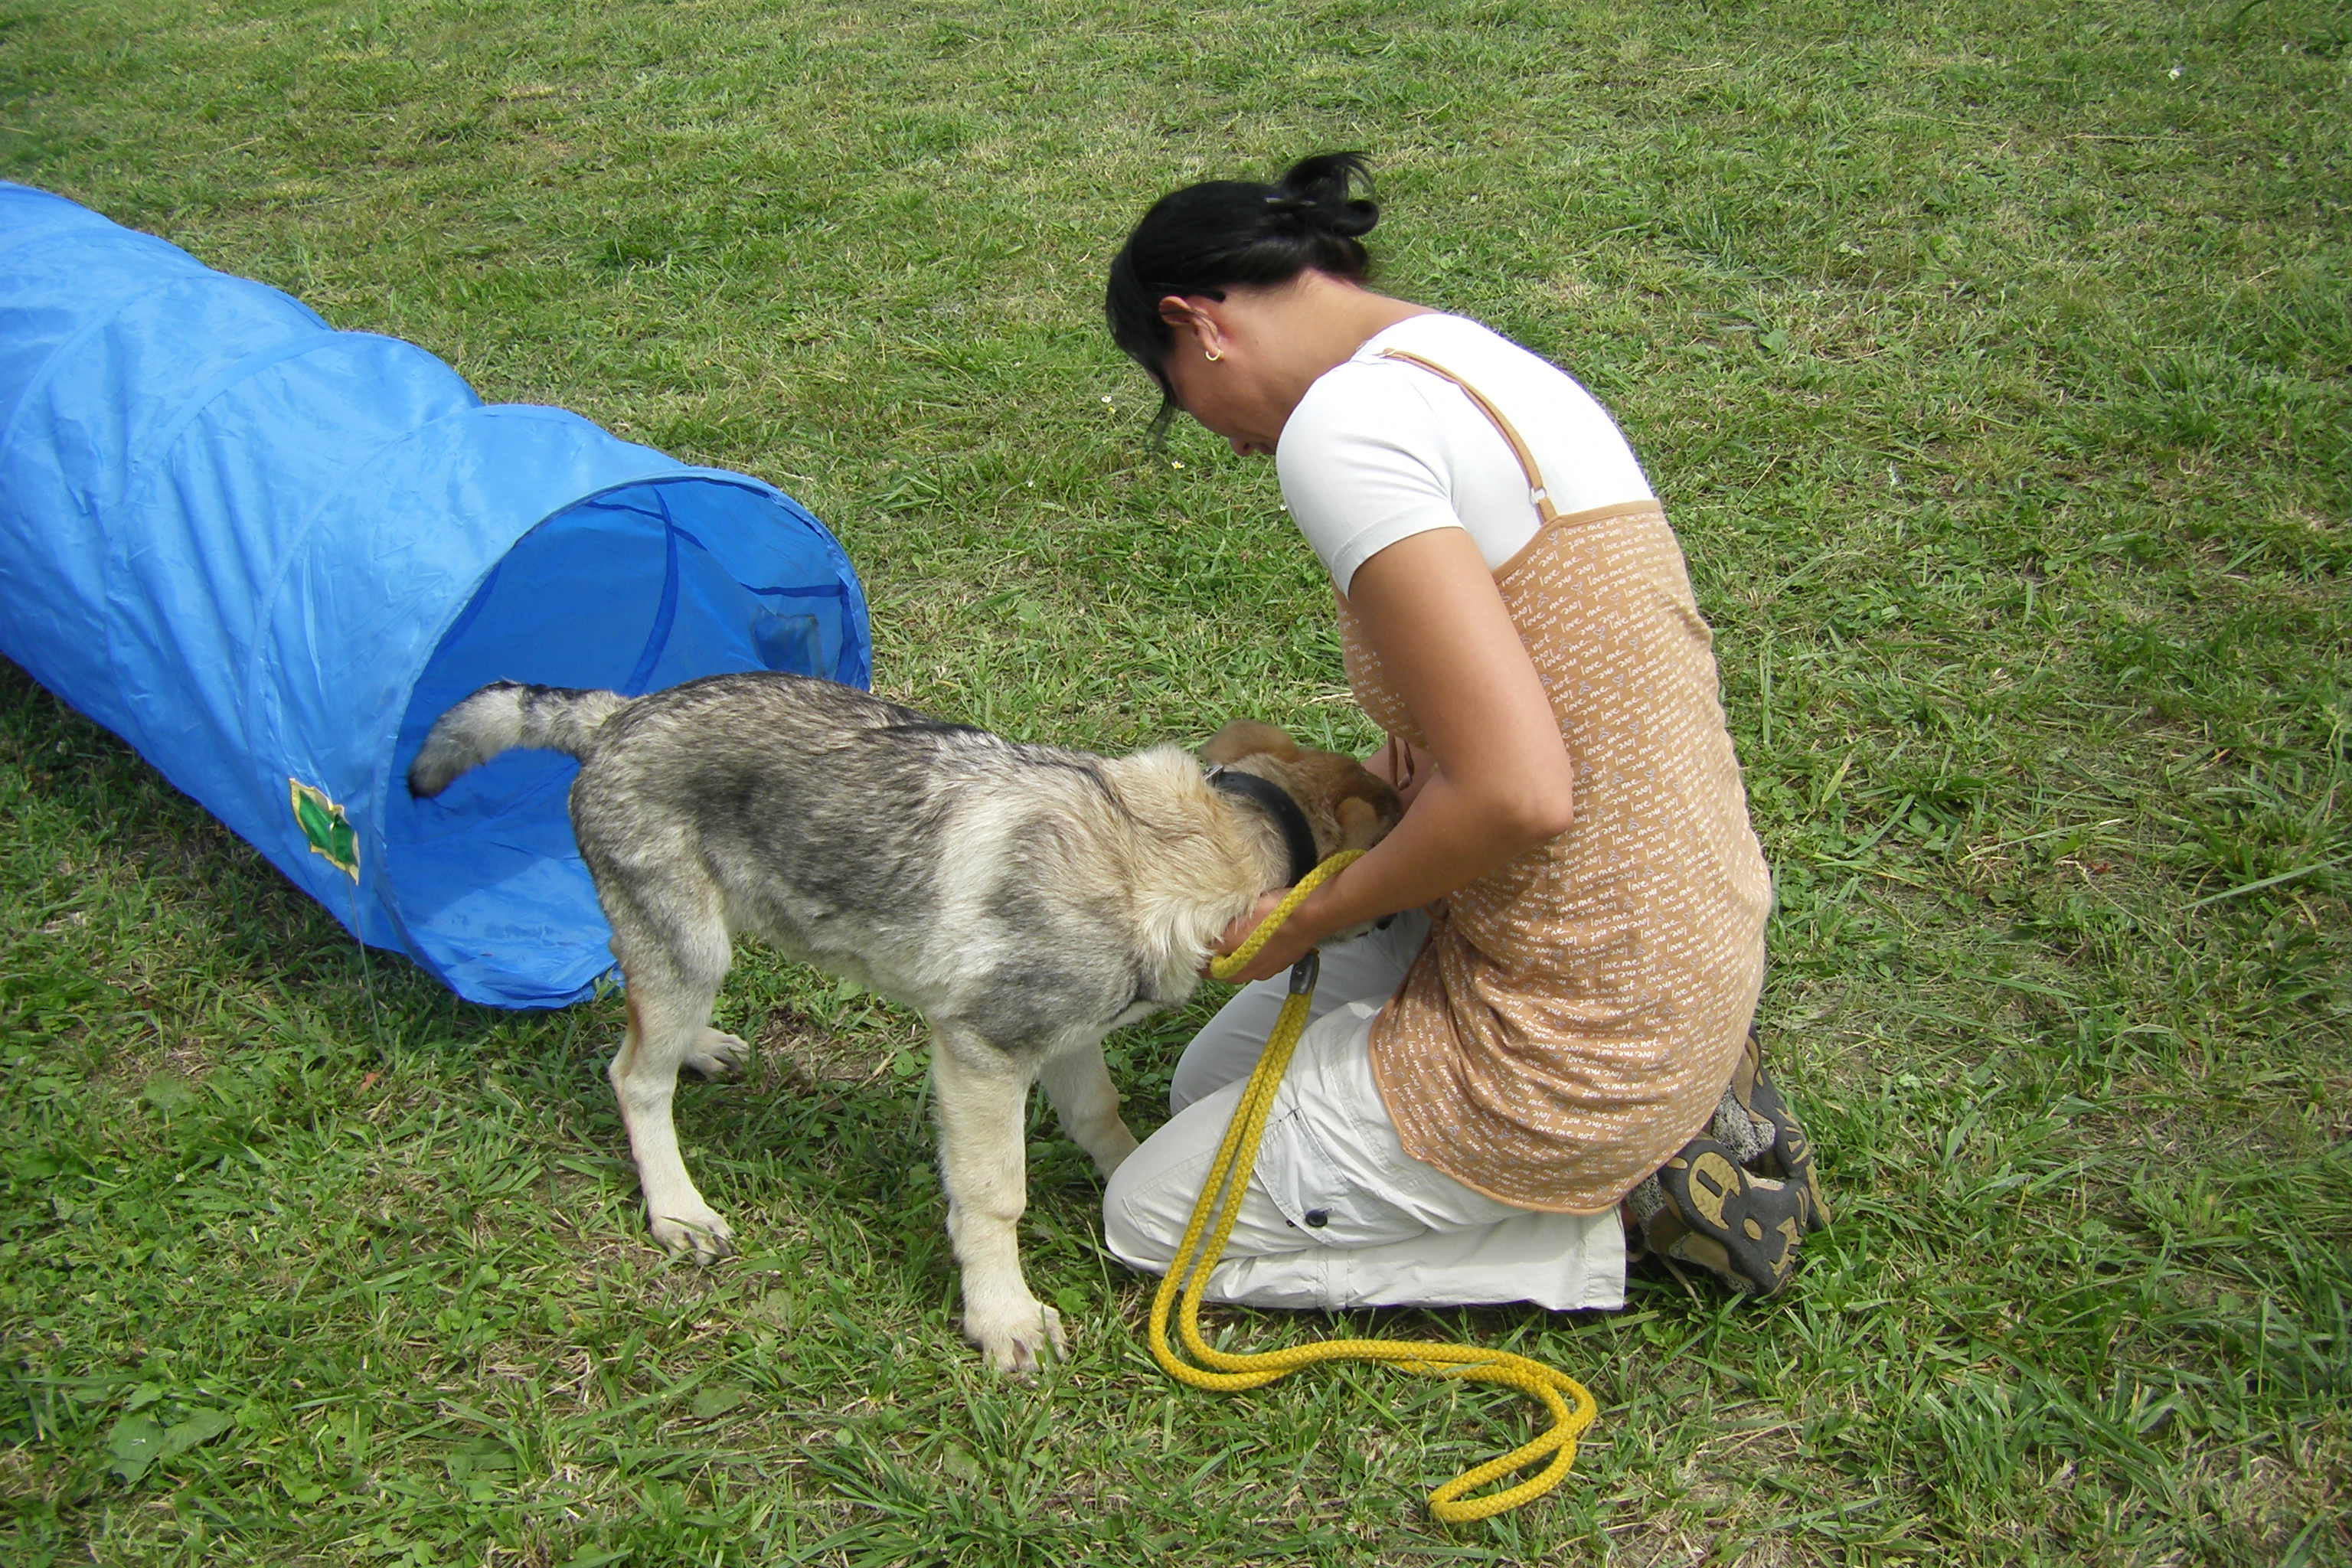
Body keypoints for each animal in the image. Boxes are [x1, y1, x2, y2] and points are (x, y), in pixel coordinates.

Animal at [409, 677, 1392, 1373]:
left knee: (645, 1030)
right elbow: (997, 1197)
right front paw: (1003, 1318)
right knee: (631, 1076)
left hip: (694, 953)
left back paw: (705, 1050)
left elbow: (1103, 1120)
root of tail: (615, 714)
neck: (1190, 840)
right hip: (689, 950)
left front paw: (1147, 1188)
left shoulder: (1069, 1037)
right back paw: (679, 1209)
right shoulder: (981, 1055)